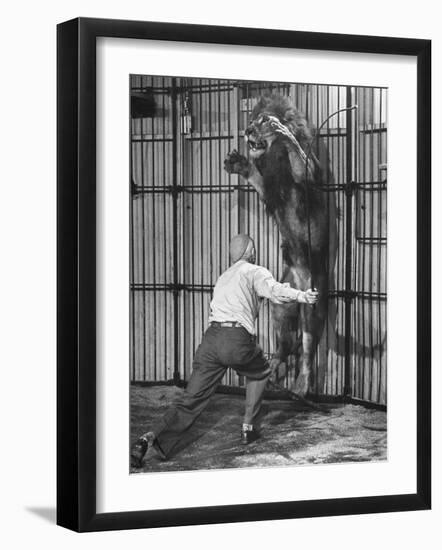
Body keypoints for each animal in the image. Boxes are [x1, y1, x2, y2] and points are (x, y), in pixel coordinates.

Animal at [223, 94, 336, 396]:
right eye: (251, 120)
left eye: (261, 121)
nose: (248, 130)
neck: (275, 157)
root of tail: (297, 278)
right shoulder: (270, 189)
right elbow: (257, 178)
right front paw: (240, 165)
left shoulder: (310, 176)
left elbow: (302, 159)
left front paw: (283, 132)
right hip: (281, 305)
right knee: (285, 345)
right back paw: (271, 371)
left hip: (311, 300)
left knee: (307, 348)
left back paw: (301, 385)